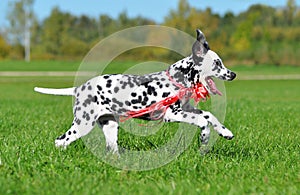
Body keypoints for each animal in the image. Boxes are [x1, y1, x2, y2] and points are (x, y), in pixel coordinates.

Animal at [34, 29, 237, 153]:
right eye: (217, 64)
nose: (233, 74)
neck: (177, 79)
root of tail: (80, 88)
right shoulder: (172, 114)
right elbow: (203, 121)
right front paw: (205, 136)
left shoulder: (186, 109)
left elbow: (209, 115)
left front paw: (224, 131)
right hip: (83, 124)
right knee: (60, 141)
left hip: (109, 126)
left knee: (112, 150)